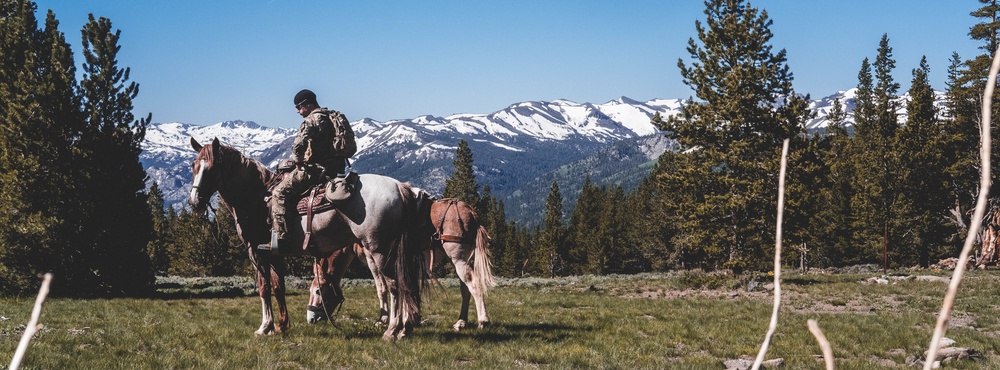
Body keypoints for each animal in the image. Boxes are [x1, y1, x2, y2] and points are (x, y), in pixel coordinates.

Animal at [191, 137, 430, 340]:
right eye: (194, 166)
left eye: (211, 168)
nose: (194, 201)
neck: (256, 197)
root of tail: (400, 186)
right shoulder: (273, 253)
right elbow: (278, 288)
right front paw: (281, 326)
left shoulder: (256, 252)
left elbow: (264, 288)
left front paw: (264, 327)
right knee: (406, 283)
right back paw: (405, 329)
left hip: (378, 249)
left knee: (394, 285)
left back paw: (392, 331)